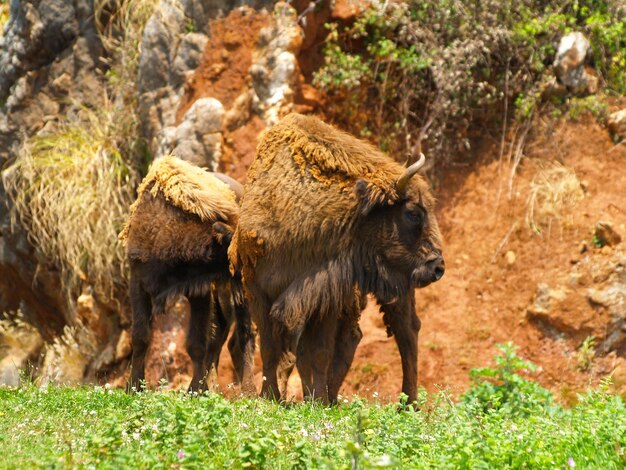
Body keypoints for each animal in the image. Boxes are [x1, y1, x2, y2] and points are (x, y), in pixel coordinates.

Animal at [120, 156, 255, 392]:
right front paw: (134, 386)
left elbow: (197, 344)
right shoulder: (138, 281)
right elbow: (140, 336)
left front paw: (193, 390)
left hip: (235, 295)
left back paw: (247, 390)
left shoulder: (198, 291)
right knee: (223, 334)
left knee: (242, 333)